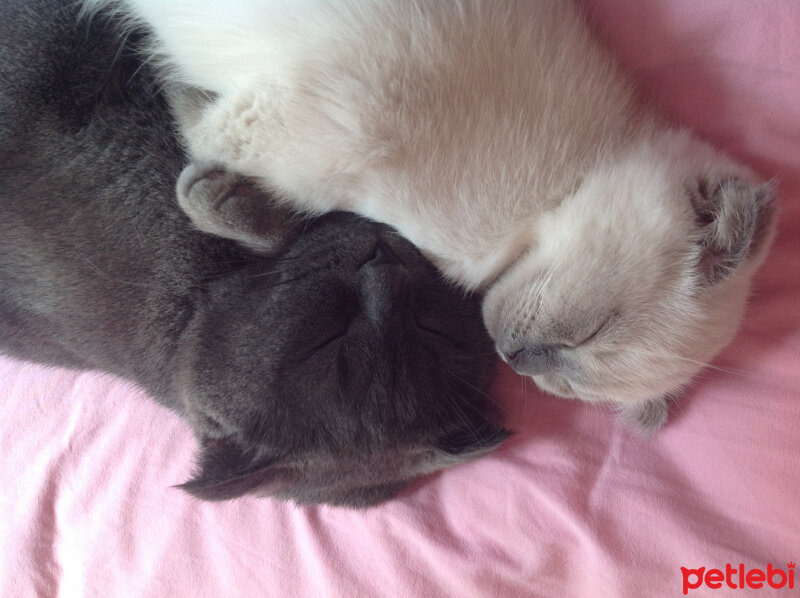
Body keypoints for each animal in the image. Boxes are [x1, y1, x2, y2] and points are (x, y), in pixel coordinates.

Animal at [81, 0, 776, 432]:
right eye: (588, 332)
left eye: (567, 383)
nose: (516, 357)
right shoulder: (320, 115)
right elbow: (193, 130)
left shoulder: (314, 148)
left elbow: (260, 200)